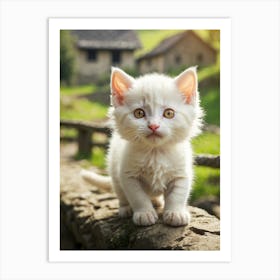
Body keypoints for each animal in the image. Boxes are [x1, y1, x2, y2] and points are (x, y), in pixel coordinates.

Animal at [80, 66, 201, 226]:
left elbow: (178, 194)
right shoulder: (128, 175)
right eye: (139, 113)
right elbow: (138, 197)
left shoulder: (181, 173)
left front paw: (176, 213)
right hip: (114, 171)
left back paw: (157, 202)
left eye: (169, 113)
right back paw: (125, 209)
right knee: (120, 193)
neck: (155, 152)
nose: (154, 126)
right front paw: (144, 213)